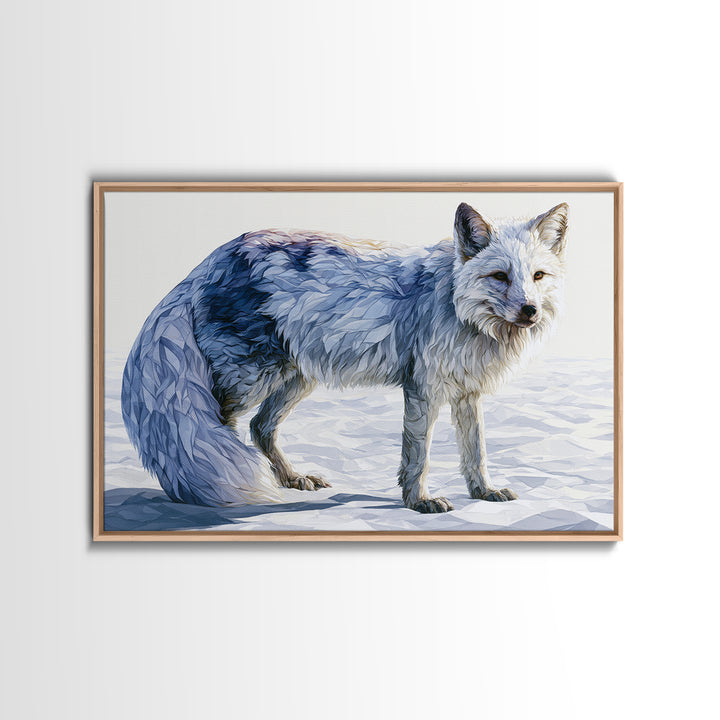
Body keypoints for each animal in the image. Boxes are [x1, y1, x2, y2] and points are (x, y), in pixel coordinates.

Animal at [122, 201, 568, 513]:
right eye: (500, 277)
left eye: (537, 277)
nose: (529, 310)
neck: (457, 307)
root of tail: (210, 260)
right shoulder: (421, 389)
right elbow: (418, 457)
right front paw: (418, 502)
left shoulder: (467, 393)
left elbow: (475, 452)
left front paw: (483, 492)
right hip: (249, 377)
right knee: (218, 426)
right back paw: (216, 486)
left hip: (296, 378)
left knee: (260, 428)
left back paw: (289, 478)